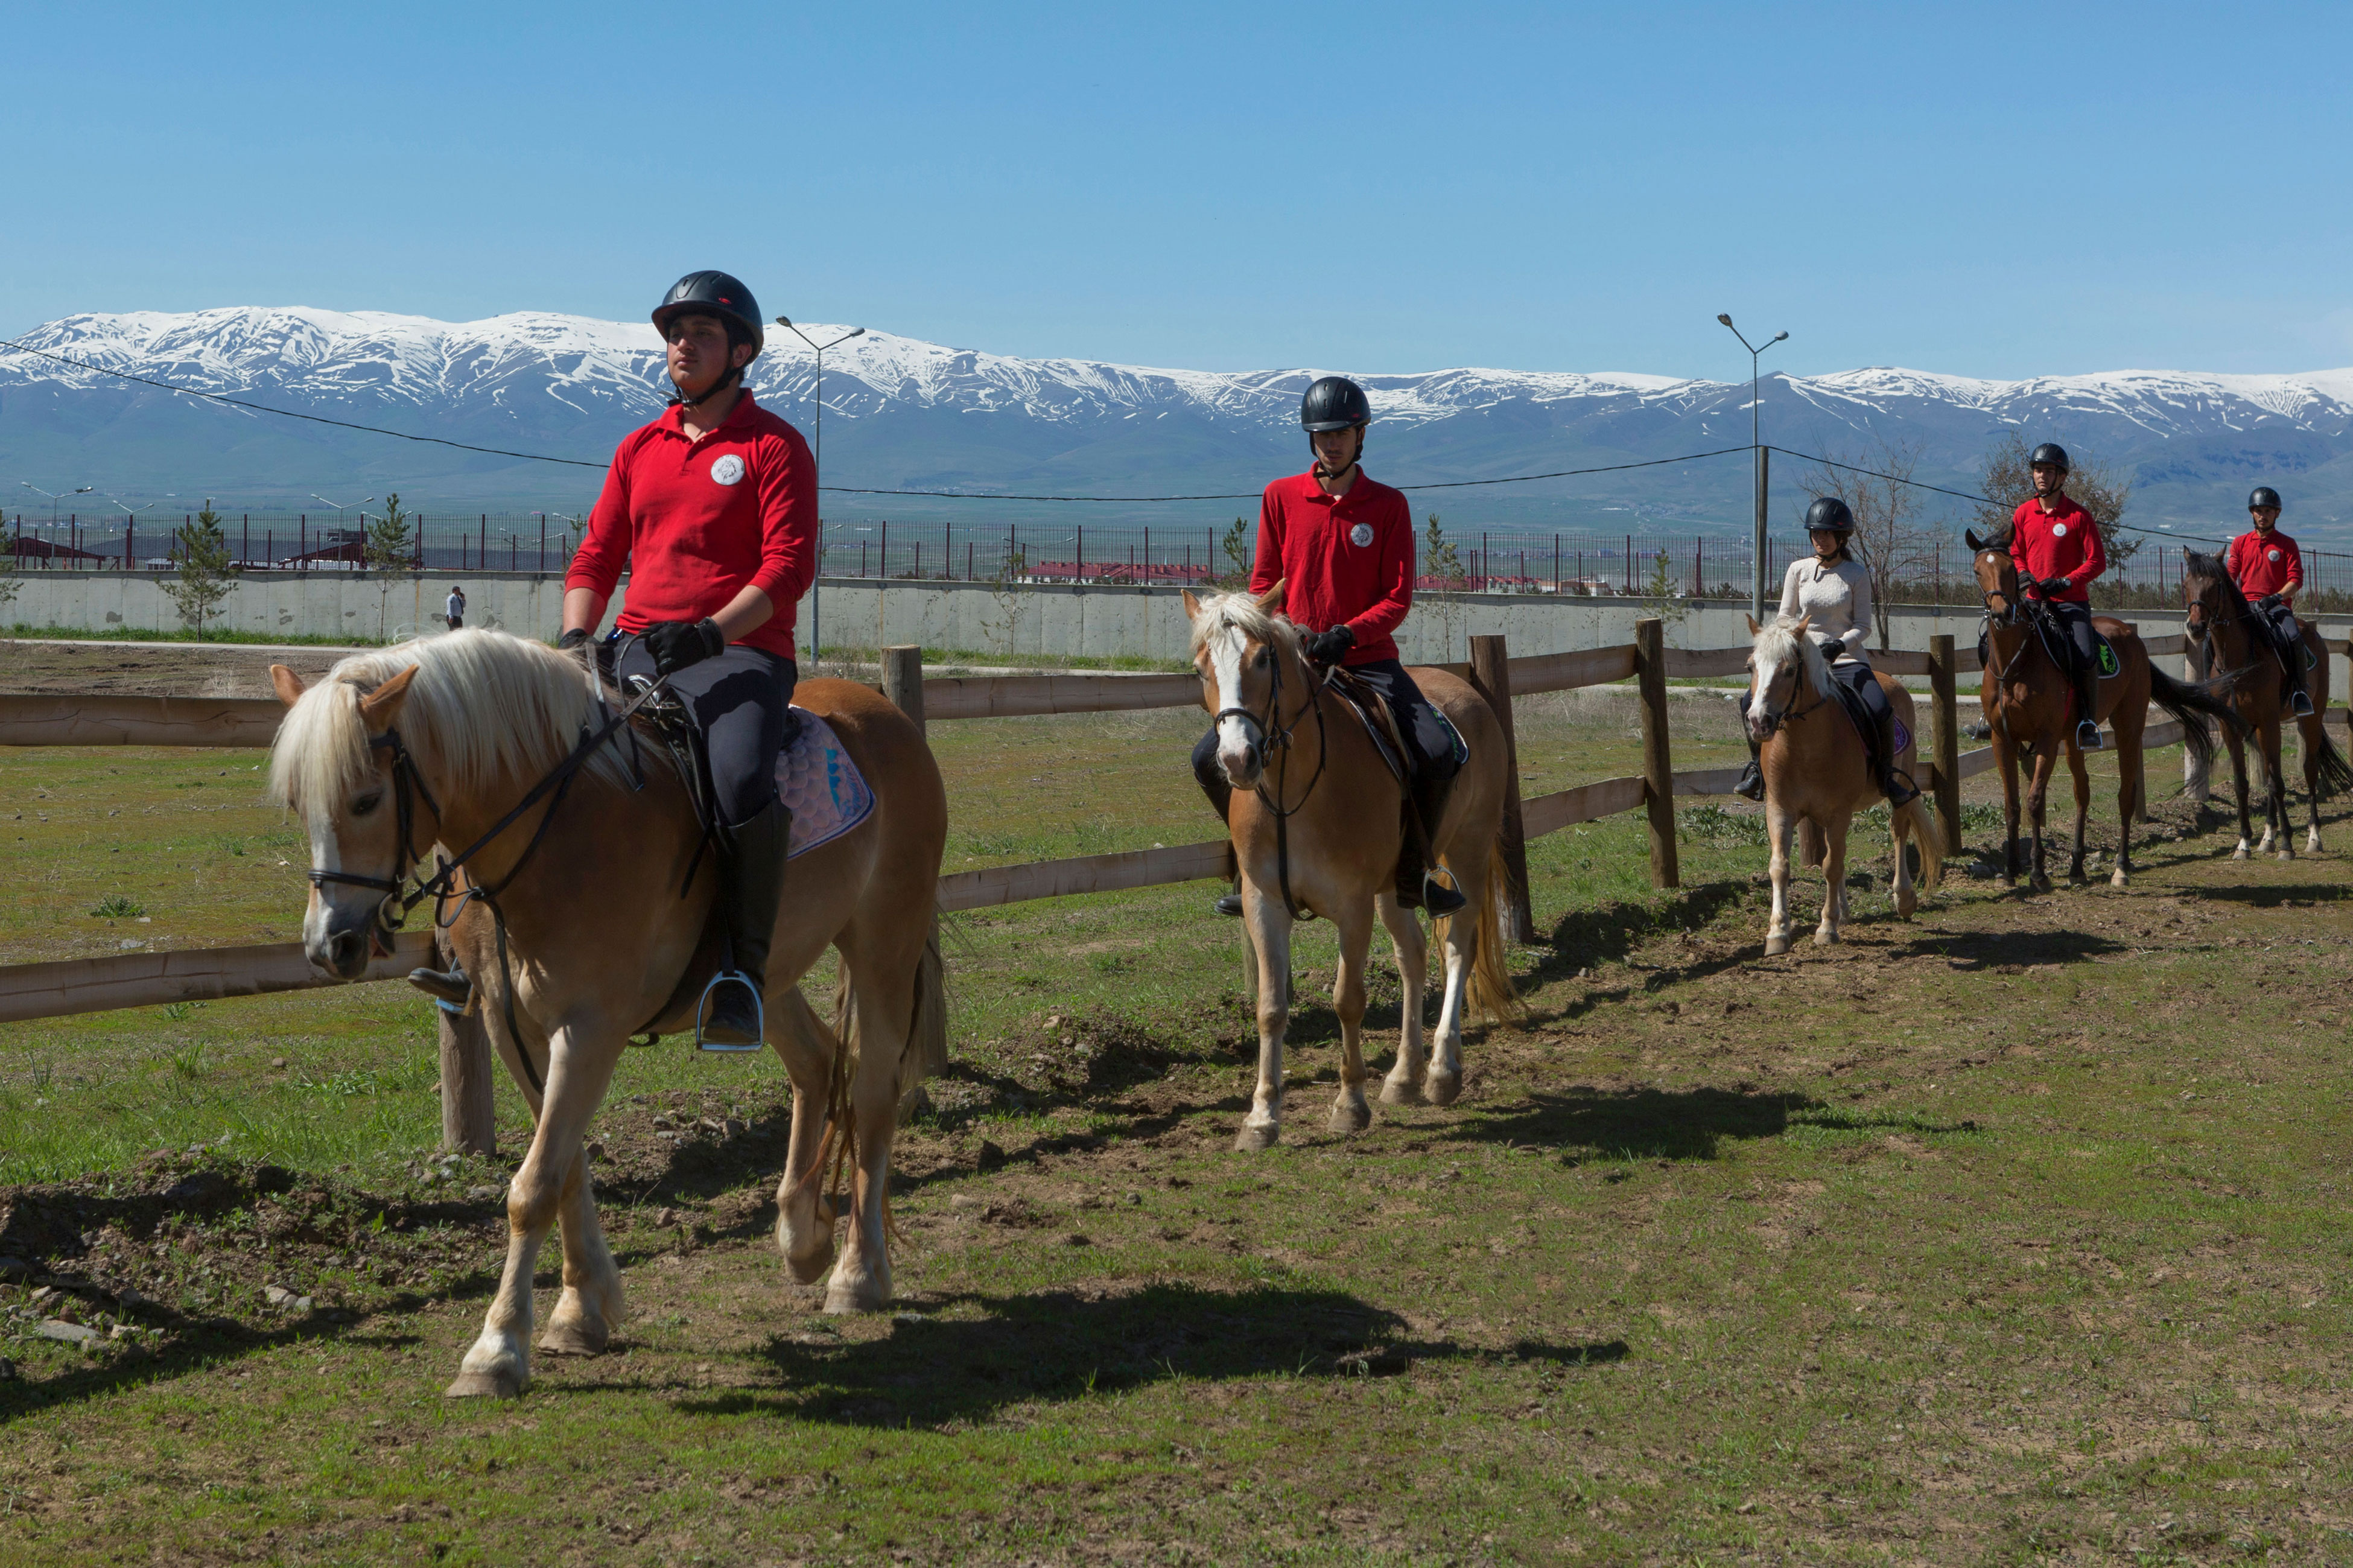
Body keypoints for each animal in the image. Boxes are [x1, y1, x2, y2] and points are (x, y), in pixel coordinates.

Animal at [266, 629, 947, 1398]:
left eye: (366, 798)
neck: (557, 828)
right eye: (297, 803)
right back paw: (803, 1237)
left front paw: (497, 1349)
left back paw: (859, 1273)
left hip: (884, 940)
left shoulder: (590, 1030)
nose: (331, 945)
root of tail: (883, 712)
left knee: (873, 1094)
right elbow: (564, 1170)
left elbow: (532, 1186)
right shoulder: (513, 1028)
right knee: (816, 1063)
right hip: (766, 976)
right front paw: (578, 1313)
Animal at [1182, 584, 1516, 1151]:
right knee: (1413, 958)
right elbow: (1270, 1008)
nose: (1237, 759)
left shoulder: (1353, 907)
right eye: (1201, 668)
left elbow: (1348, 1001)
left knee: (1457, 949)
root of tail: (1462, 688)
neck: (1294, 789)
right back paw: (1404, 1075)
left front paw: (1350, 1104)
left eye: (1263, 658)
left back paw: (1442, 1071)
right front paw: (1261, 1118)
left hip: (1468, 855)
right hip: (1395, 888)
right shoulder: (1263, 903)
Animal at [1741, 613, 1944, 954]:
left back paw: (1903, 899)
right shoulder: (1779, 810)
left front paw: (1826, 927)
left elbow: (1831, 867)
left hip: (1896, 792)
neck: (1804, 746)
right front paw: (1778, 932)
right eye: (1750, 666)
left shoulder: (1839, 812)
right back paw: (1845, 911)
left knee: (1898, 833)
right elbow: (1781, 866)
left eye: (1790, 670)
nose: (1759, 722)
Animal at [1964, 531, 2239, 891]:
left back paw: (2121, 866)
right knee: (2083, 792)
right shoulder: (2002, 739)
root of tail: (2132, 635)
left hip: (2127, 728)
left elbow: (2035, 800)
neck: (2015, 664)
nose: (2000, 614)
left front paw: (2037, 873)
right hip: (2073, 737)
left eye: (2011, 569)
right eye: (1978, 571)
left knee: (2126, 794)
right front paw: (2011, 871)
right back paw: (2077, 866)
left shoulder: (2047, 738)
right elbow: (2012, 805)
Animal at [2179, 549, 2352, 859]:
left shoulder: (2269, 722)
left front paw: (2287, 845)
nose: (2196, 628)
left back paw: (2312, 838)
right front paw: (2244, 843)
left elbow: (2277, 783)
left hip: (2310, 718)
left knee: (2308, 771)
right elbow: (2243, 784)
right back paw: (2267, 838)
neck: (2238, 664)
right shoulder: (2232, 728)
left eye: (2214, 586)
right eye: (2186, 584)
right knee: (2271, 774)